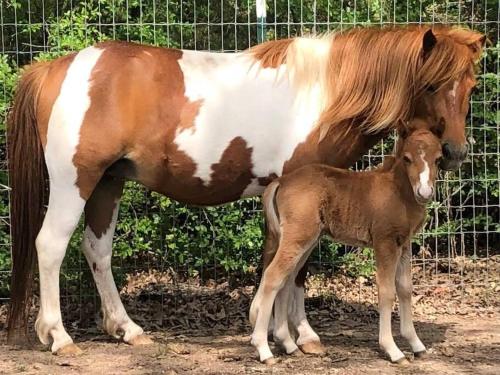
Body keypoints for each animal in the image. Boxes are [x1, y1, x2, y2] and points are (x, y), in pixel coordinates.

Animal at [250, 123, 442, 364]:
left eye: (438, 159)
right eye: (407, 158)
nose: (424, 193)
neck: (398, 192)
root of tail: (281, 181)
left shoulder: (404, 244)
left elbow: (405, 289)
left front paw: (417, 345)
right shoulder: (385, 243)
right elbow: (387, 292)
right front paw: (392, 349)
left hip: (305, 240)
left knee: (286, 277)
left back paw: (288, 344)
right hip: (298, 237)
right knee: (273, 276)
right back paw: (263, 349)